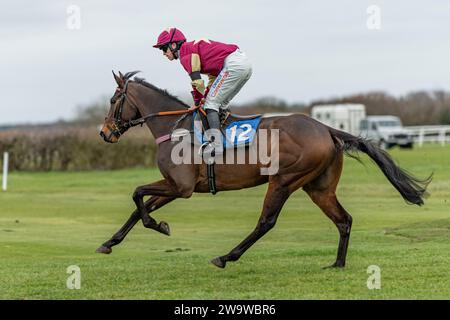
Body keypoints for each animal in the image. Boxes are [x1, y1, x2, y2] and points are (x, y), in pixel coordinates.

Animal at [97, 71, 428, 268]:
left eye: (113, 100)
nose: (104, 132)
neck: (175, 127)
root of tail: (327, 128)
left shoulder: (182, 187)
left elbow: (137, 194)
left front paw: (157, 225)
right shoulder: (175, 186)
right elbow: (139, 206)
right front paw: (110, 242)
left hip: (283, 180)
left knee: (266, 222)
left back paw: (226, 256)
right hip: (319, 187)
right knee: (344, 219)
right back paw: (337, 264)